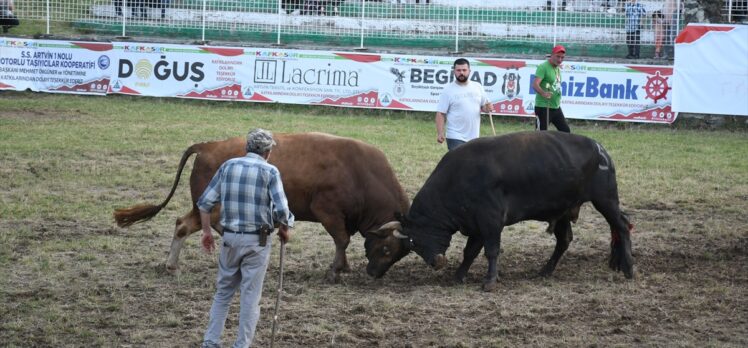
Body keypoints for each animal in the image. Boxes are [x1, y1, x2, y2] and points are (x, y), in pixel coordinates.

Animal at [112, 132, 410, 282]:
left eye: (398, 254)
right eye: (386, 248)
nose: (375, 274)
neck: (360, 173)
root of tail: (208, 146)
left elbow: (342, 241)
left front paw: (344, 266)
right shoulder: (329, 212)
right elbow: (342, 240)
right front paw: (336, 269)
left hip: (205, 206)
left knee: (184, 224)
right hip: (211, 205)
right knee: (189, 225)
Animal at [366, 131, 636, 290]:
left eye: (416, 241)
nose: (437, 262)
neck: (459, 179)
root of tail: (600, 149)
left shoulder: (490, 221)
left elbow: (491, 251)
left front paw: (489, 281)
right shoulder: (475, 224)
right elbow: (470, 252)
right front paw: (459, 275)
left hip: (606, 200)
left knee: (622, 226)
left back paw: (629, 268)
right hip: (563, 210)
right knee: (564, 240)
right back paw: (545, 270)